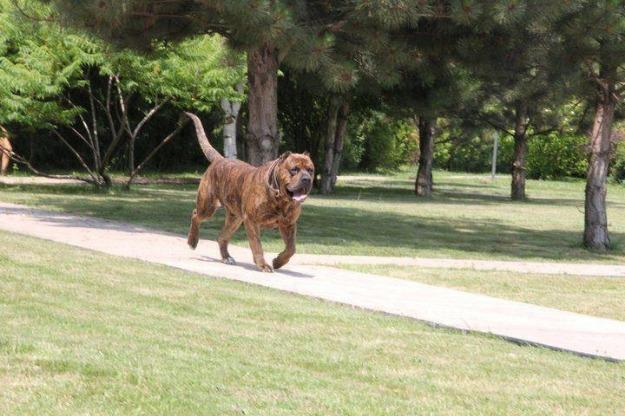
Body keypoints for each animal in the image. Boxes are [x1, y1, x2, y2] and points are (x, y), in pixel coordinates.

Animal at [184, 111, 312, 272]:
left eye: (311, 170)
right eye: (294, 169)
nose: (307, 179)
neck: (280, 199)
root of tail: (219, 159)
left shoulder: (288, 224)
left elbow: (291, 248)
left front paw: (278, 262)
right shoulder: (252, 221)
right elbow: (257, 245)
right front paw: (263, 265)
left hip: (235, 219)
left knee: (222, 236)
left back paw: (226, 257)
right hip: (207, 206)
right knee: (195, 215)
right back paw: (192, 241)